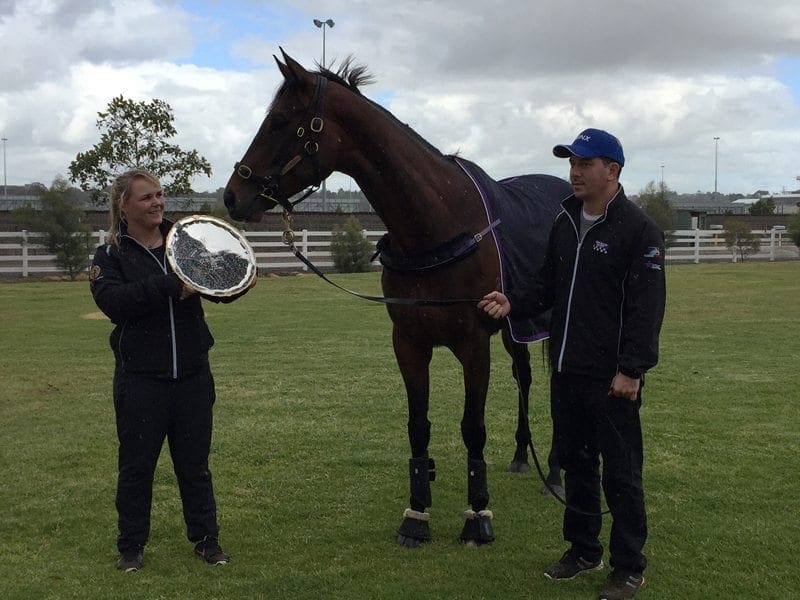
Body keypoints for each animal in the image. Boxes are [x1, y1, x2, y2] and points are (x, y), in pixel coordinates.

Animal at [222, 50, 568, 548]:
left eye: (281, 121)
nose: (233, 195)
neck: (441, 225)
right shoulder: (409, 343)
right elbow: (417, 427)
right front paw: (417, 514)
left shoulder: (473, 345)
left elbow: (473, 428)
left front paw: (477, 515)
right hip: (512, 328)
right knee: (523, 377)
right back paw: (524, 455)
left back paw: (556, 471)